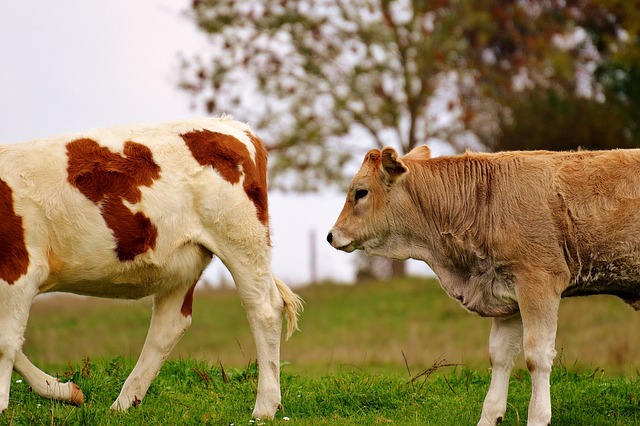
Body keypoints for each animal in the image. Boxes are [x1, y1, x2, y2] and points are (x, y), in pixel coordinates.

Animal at [0, 117, 302, 420]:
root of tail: (235, 126)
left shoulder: (17, 269)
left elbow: (5, 343)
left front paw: (3, 406)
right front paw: (64, 390)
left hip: (241, 238)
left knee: (263, 310)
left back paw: (264, 408)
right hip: (185, 262)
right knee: (168, 326)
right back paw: (124, 403)